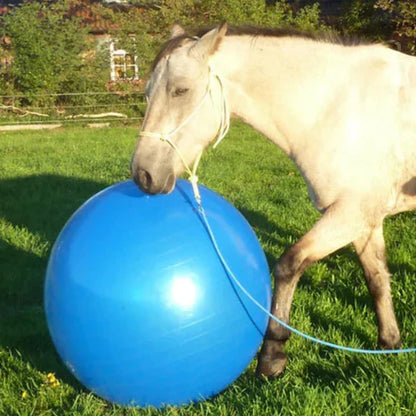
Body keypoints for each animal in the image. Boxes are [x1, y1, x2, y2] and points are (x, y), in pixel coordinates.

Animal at [130, 23, 416, 380]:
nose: (143, 174)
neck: (339, 108)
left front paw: (272, 355)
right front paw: (389, 344)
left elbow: (288, 265)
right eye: (147, 93)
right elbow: (377, 279)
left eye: (181, 90)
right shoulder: (365, 220)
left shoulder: (351, 214)